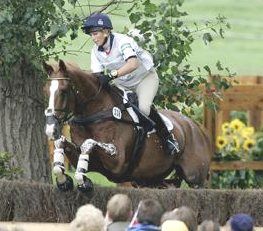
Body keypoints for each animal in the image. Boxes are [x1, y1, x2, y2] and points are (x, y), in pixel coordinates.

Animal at [43, 58, 212, 192]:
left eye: (64, 91)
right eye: (46, 91)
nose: (51, 129)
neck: (95, 113)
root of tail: (196, 127)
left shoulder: (116, 161)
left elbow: (88, 143)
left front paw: (82, 182)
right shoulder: (94, 163)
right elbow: (61, 144)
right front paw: (65, 182)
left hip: (196, 179)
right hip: (151, 179)